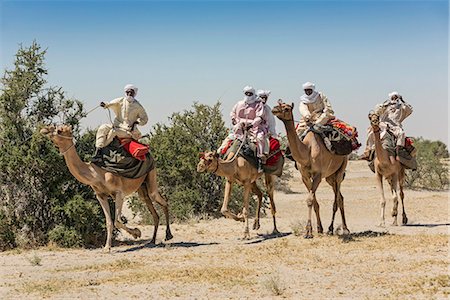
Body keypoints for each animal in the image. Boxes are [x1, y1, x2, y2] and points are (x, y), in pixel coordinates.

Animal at [40, 124, 172, 251]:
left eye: (59, 130)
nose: (44, 129)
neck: (96, 174)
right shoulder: (101, 195)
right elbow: (109, 222)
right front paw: (107, 247)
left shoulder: (119, 193)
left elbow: (117, 221)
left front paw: (137, 233)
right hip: (142, 187)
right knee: (152, 208)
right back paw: (152, 240)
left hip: (151, 173)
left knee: (161, 200)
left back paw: (168, 235)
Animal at [270, 102, 348, 238]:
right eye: (278, 104)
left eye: (286, 108)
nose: (274, 109)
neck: (307, 150)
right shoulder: (305, 177)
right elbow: (314, 202)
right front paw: (318, 228)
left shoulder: (318, 175)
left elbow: (310, 200)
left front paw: (308, 232)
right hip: (330, 177)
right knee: (340, 197)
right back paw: (338, 228)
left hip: (341, 169)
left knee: (337, 199)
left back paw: (338, 229)